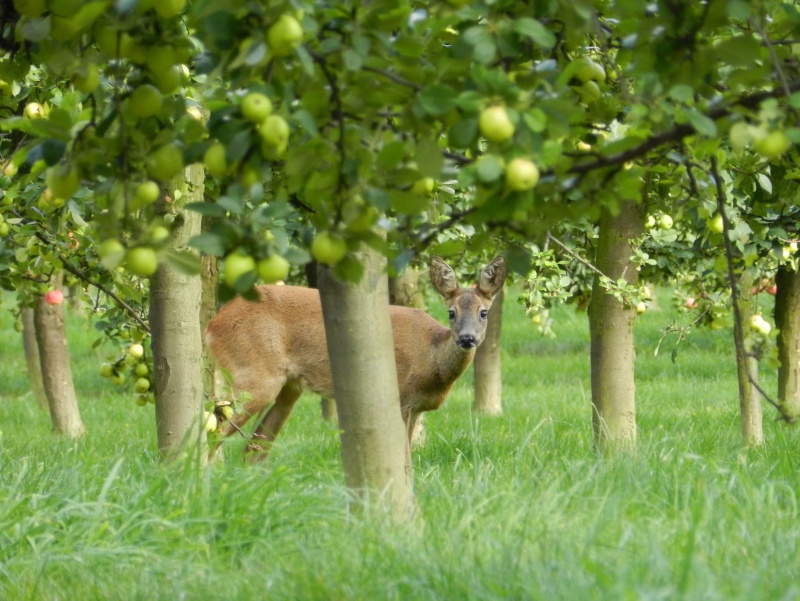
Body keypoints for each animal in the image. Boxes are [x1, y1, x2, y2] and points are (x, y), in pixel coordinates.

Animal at [206, 254, 506, 460]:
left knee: (253, 447)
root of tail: (212, 325)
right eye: (451, 312)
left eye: (484, 312)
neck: (431, 358)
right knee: (214, 427)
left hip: (289, 387)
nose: (467, 338)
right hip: (255, 373)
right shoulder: (400, 398)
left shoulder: (415, 408)